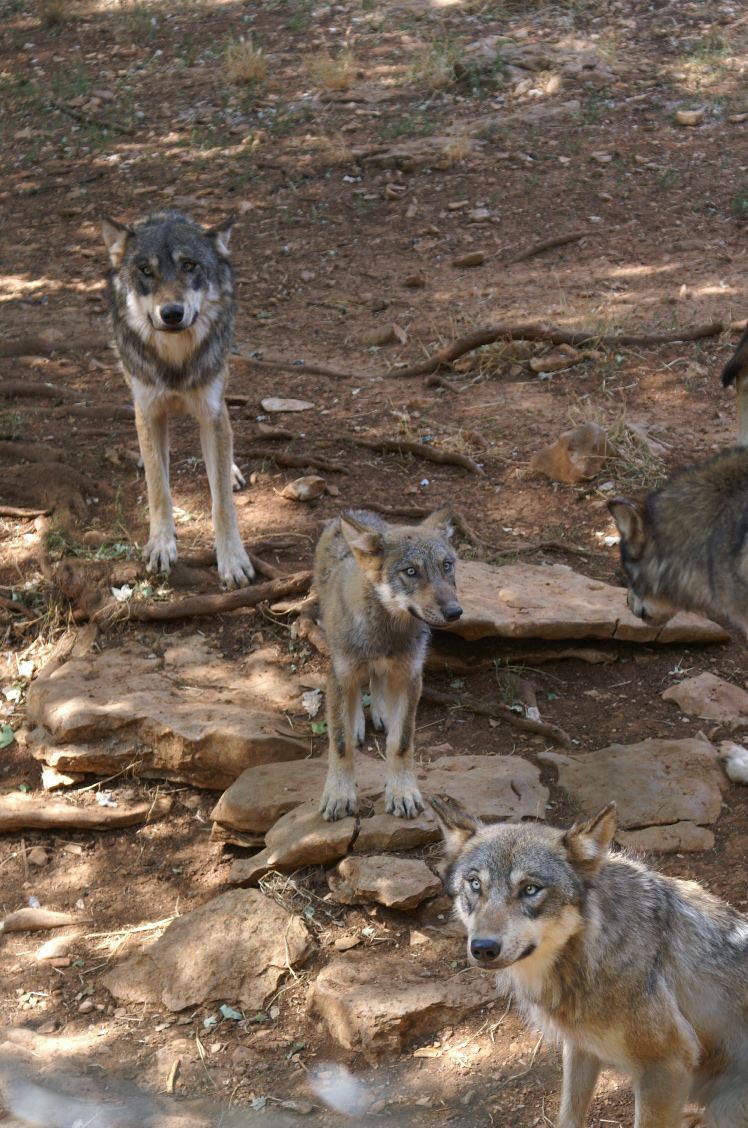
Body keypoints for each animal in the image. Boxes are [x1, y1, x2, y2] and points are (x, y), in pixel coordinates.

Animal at [100, 208, 256, 591]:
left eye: (188, 265)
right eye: (146, 270)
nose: (171, 313)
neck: (174, 360)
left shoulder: (212, 411)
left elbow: (222, 503)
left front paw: (232, 560)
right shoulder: (148, 411)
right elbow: (159, 488)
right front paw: (161, 545)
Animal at [313, 507, 460, 825]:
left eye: (446, 566)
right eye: (411, 571)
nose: (455, 612)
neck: (385, 632)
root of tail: (355, 512)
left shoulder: (410, 676)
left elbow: (400, 742)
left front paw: (402, 792)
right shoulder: (339, 675)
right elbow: (340, 742)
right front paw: (339, 794)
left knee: (377, 679)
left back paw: (380, 712)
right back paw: (358, 721)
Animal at [430, 794, 748, 1128]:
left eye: (530, 889)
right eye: (475, 884)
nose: (483, 948)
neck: (589, 956)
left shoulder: (667, 1067)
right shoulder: (580, 1047)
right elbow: (568, 1115)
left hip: (723, 1109)